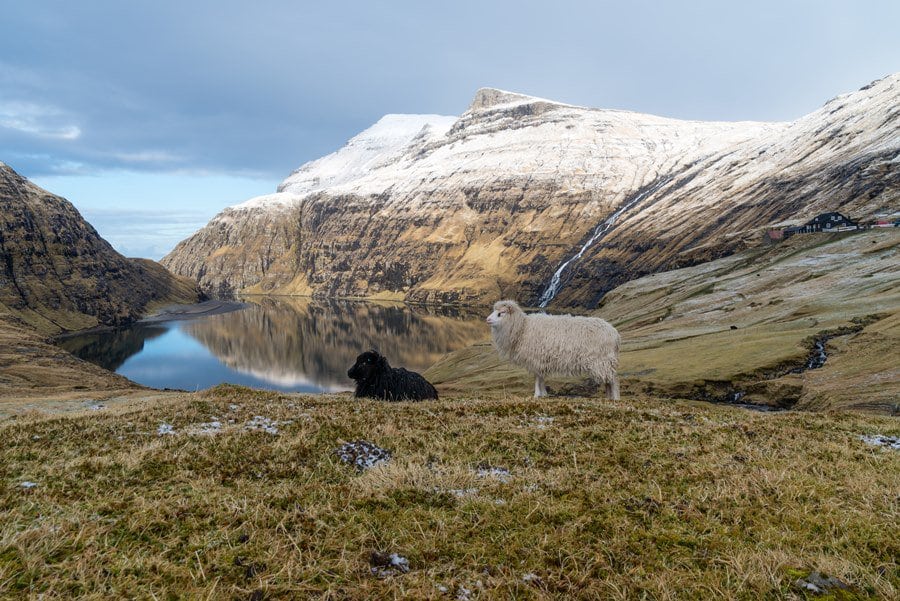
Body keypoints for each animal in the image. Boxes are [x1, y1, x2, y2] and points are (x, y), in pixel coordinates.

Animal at [486, 300, 620, 399]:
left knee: (612, 380)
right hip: (605, 362)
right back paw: (608, 397)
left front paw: (537, 394)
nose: (487, 320)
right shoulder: (540, 360)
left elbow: (537, 378)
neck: (522, 328)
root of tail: (614, 333)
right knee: (608, 380)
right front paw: (543, 394)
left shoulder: (536, 358)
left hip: (602, 361)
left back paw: (614, 397)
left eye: (500, 313)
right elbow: (540, 378)